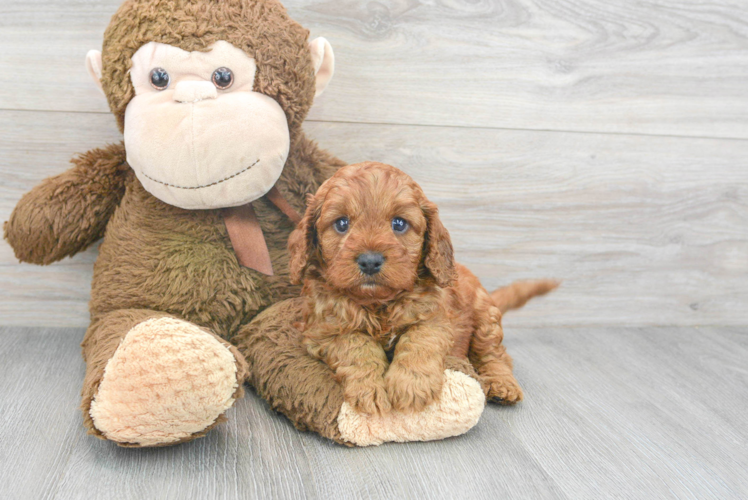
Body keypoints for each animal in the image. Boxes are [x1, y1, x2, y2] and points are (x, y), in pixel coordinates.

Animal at [290, 161, 560, 414]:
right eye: (342, 223)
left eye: (399, 224)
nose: (370, 261)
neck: (379, 303)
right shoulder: (325, 331)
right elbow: (357, 348)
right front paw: (370, 390)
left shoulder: (435, 319)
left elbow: (418, 342)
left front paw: (410, 386)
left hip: (486, 319)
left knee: (495, 356)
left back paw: (502, 384)